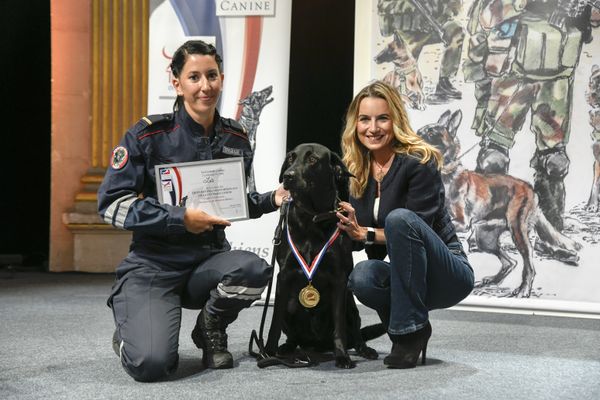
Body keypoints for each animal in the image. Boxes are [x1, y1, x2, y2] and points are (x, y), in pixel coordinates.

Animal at [264, 143, 382, 368]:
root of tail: (316, 345)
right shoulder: (283, 277)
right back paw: (286, 348)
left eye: (312, 160)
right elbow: (273, 323)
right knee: (292, 336)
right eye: (291, 158)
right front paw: (266, 352)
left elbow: (339, 325)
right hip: (290, 306)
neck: (311, 217)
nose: (288, 175)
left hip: (350, 305)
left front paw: (342, 356)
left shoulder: (339, 280)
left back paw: (364, 350)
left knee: (355, 332)